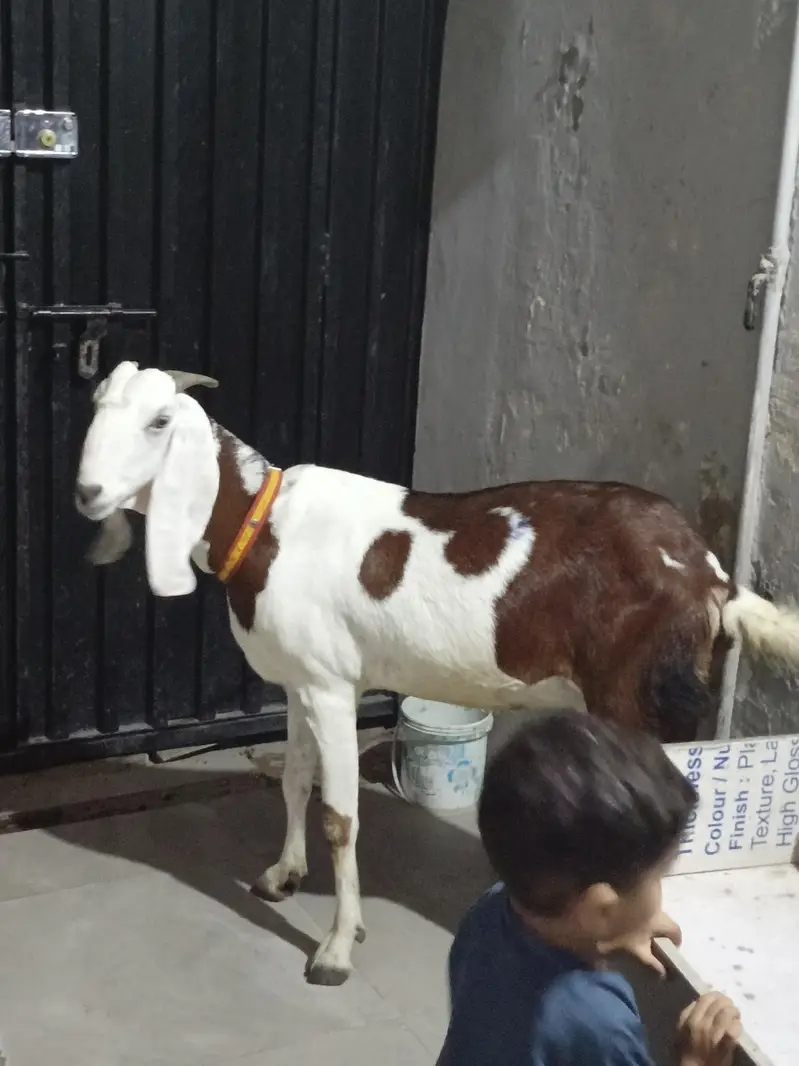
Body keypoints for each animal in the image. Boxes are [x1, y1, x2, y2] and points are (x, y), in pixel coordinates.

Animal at [75, 361, 799, 985]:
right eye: (96, 406)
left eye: (159, 422)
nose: (87, 493)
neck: (265, 527)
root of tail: (712, 576)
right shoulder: (301, 679)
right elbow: (295, 780)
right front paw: (282, 875)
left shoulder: (332, 689)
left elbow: (340, 817)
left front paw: (336, 948)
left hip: (639, 698)